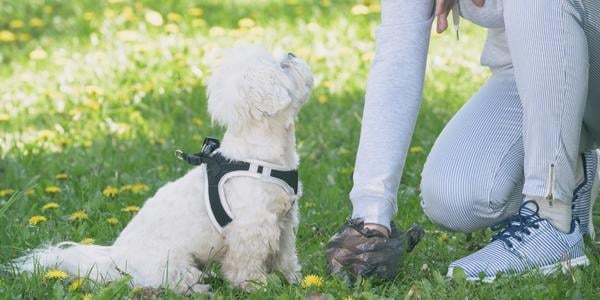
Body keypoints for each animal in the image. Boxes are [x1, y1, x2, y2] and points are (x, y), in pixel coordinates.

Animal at [14, 45, 314, 294]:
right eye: (282, 67)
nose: (291, 53)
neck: (259, 154)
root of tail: (115, 258)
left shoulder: (284, 221)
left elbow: (285, 256)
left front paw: (293, 280)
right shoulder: (251, 229)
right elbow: (246, 264)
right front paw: (256, 286)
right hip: (172, 264)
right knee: (176, 280)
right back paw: (199, 289)